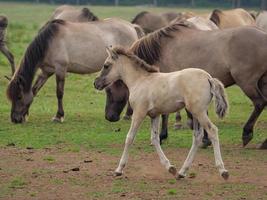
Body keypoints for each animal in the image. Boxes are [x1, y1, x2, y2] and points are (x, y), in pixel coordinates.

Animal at [5, 19, 144, 123]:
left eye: (19, 96)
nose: (15, 119)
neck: (49, 41)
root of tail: (132, 26)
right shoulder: (46, 71)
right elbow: (34, 91)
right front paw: (26, 115)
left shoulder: (60, 69)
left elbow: (59, 93)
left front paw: (59, 116)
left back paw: (128, 115)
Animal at [94, 47, 230, 180]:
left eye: (106, 65)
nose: (95, 83)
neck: (140, 80)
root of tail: (208, 77)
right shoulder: (155, 115)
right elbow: (155, 139)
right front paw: (170, 168)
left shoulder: (139, 113)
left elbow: (129, 138)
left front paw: (119, 170)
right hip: (195, 113)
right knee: (197, 136)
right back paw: (182, 172)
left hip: (199, 112)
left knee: (212, 130)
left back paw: (223, 171)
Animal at [103, 21, 267, 148]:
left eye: (109, 91)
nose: (109, 116)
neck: (162, 50)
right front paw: (203, 138)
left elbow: (170, 114)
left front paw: (163, 136)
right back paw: (264, 143)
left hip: (247, 82)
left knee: (259, 103)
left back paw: (247, 134)